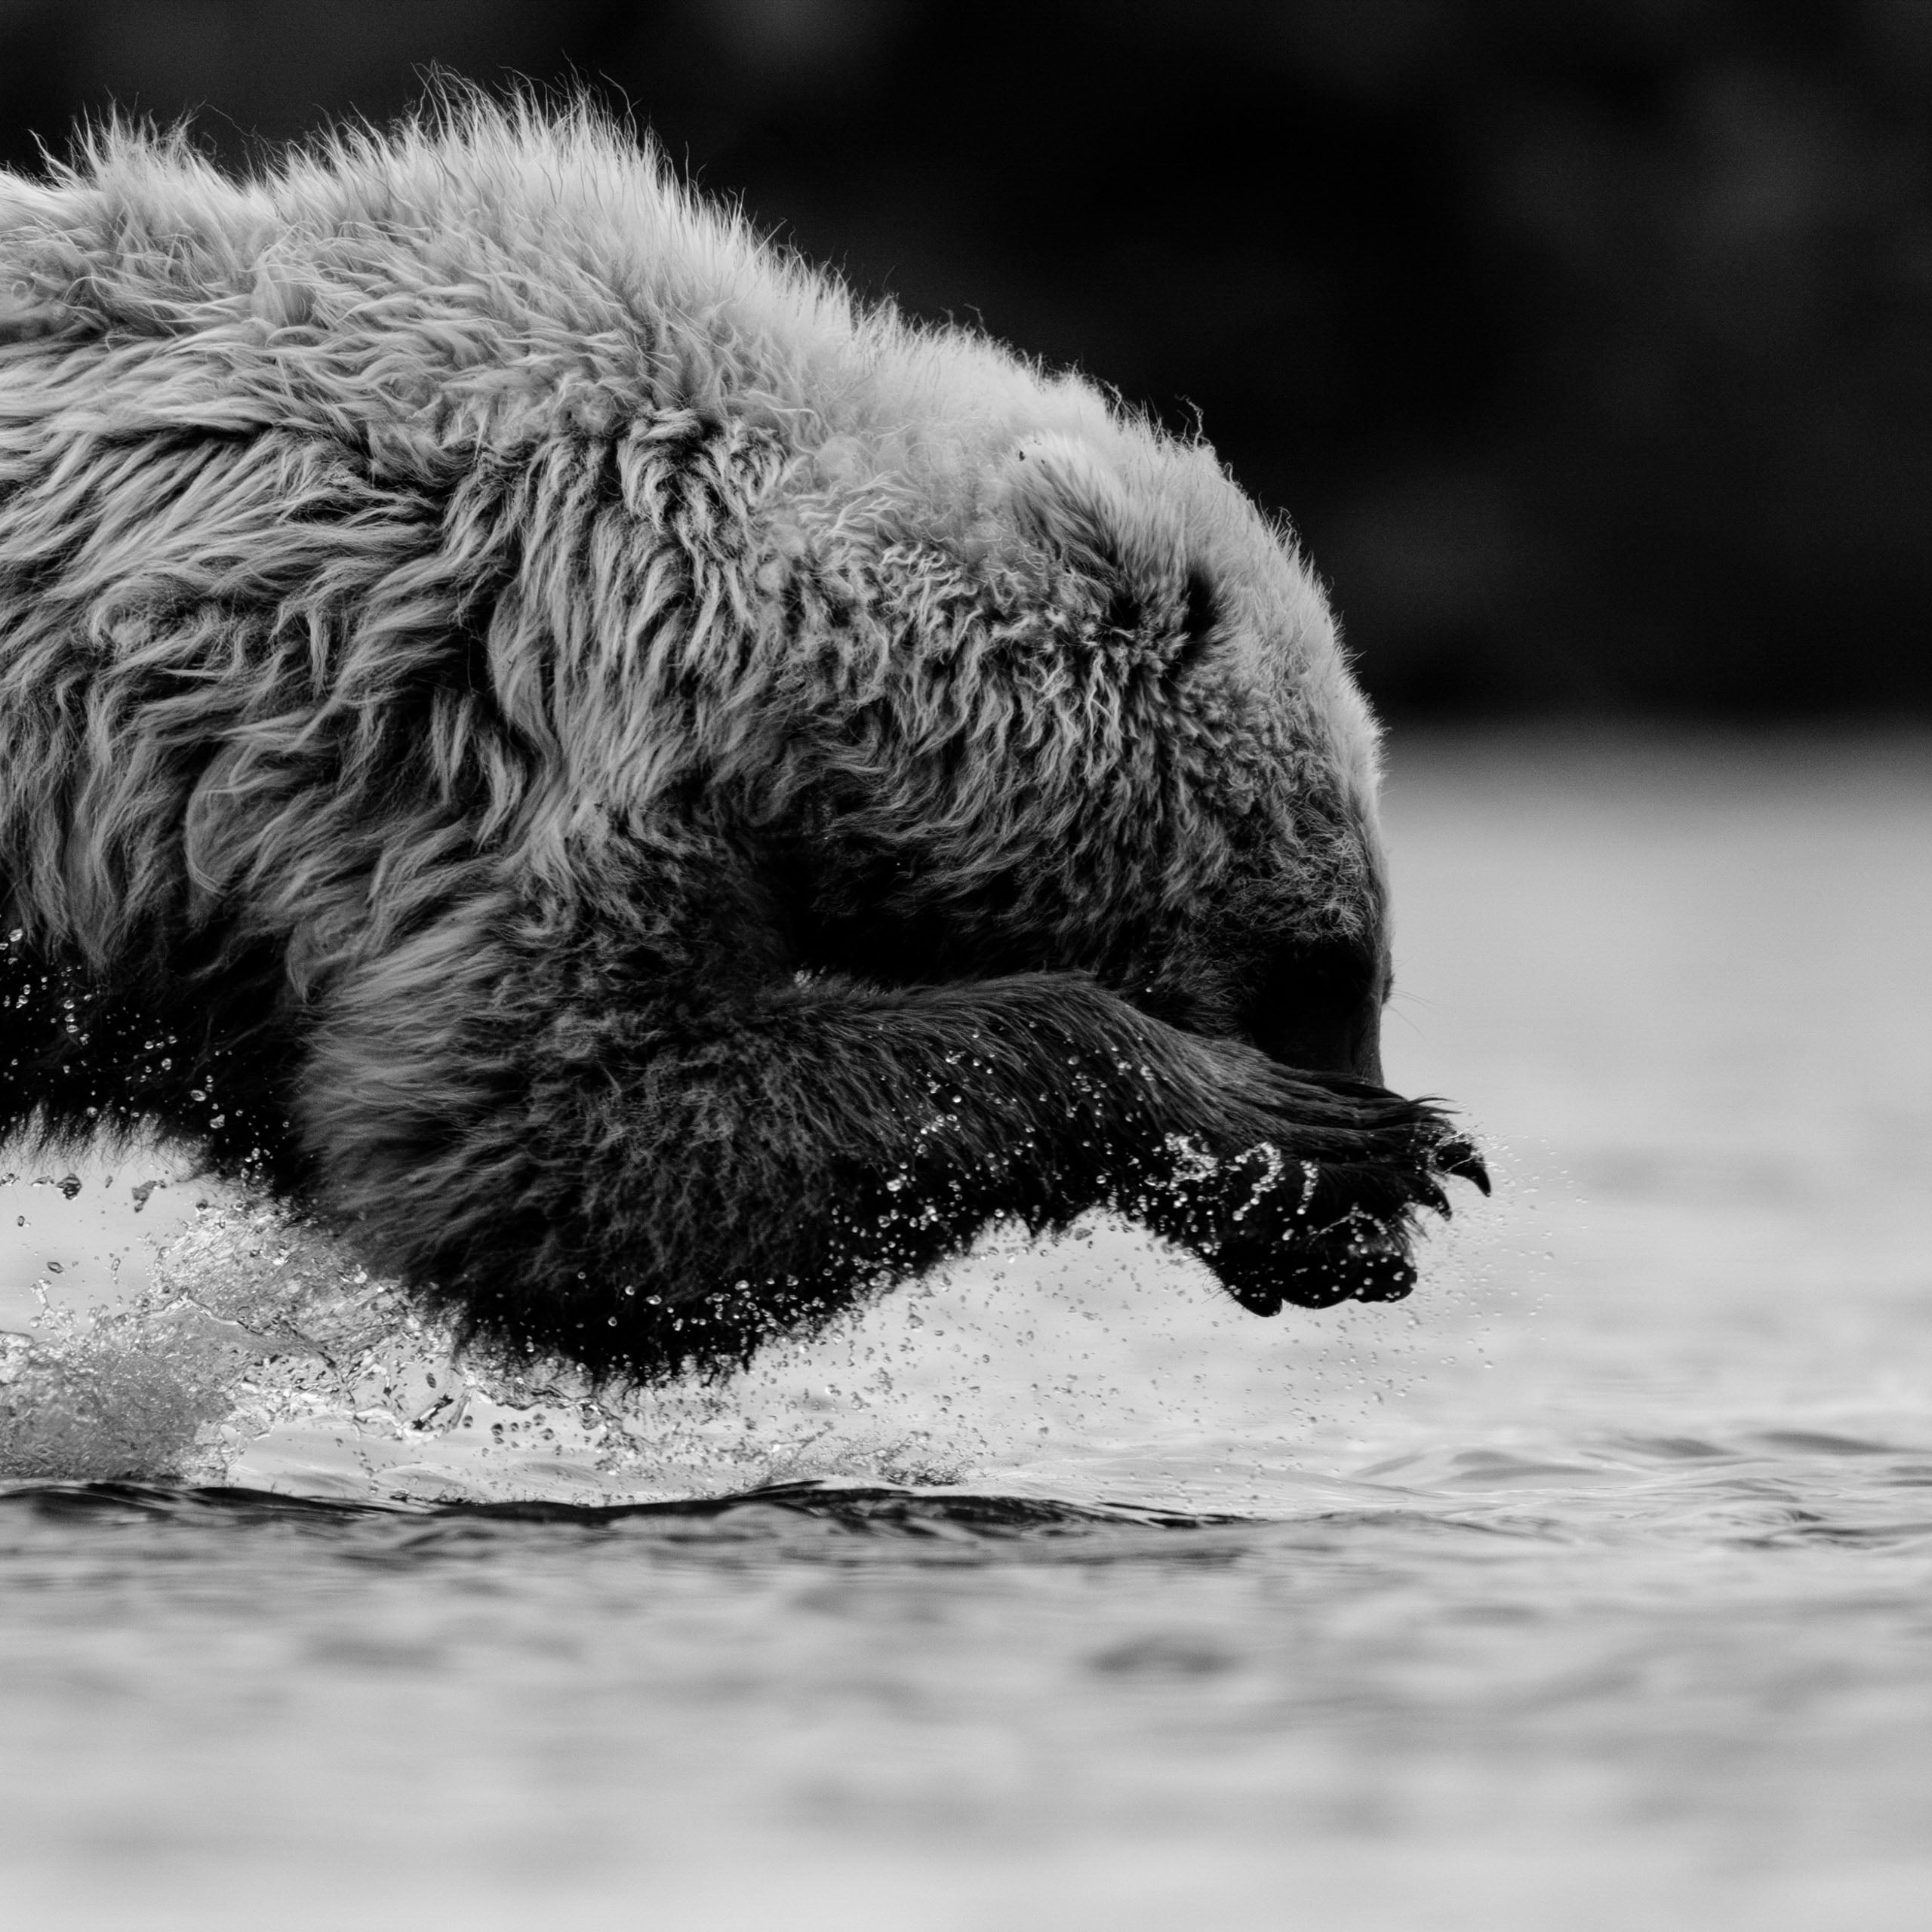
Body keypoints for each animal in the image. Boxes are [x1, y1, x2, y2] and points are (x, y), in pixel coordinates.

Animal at [0, 98, 1484, 1382]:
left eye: (1365, 972)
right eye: (1325, 967)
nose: (1379, 1260)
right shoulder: (504, 745)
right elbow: (549, 1140)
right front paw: (1325, 1134)